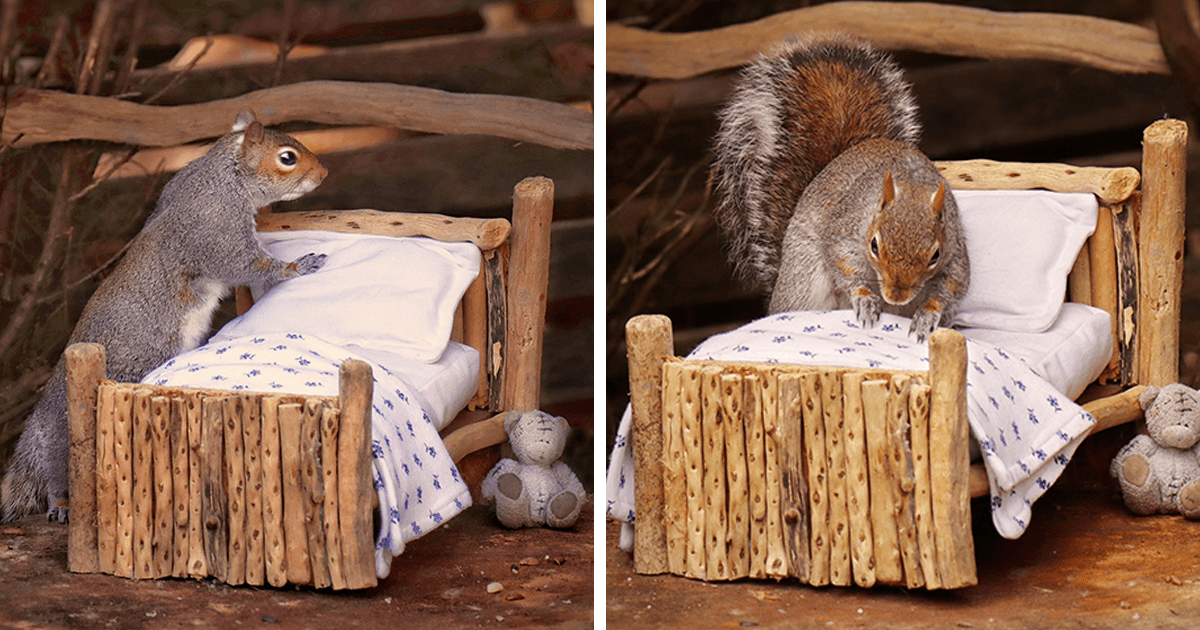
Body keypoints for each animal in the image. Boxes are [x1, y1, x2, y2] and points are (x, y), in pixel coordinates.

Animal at [1, 111, 328, 520]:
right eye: (287, 158)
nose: (324, 174)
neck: (224, 176)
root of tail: (41, 416)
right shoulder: (216, 231)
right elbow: (249, 265)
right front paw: (298, 267)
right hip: (70, 432)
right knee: (61, 470)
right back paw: (60, 502)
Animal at [710, 33, 964, 338]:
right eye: (874, 245)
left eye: (934, 256)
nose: (897, 296)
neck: (911, 186)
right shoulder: (844, 227)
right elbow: (843, 263)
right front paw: (864, 297)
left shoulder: (955, 249)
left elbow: (951, 285)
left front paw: (928, 315)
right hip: (805, 280)